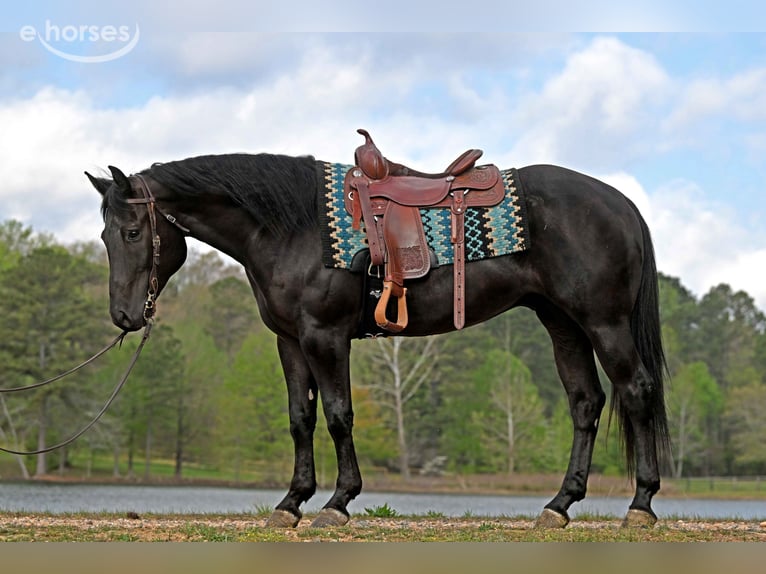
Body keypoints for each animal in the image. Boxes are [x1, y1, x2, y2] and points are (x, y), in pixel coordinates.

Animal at [86, 144, 670, 529]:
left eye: (133, 232)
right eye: (105, 236)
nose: (124, 316)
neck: (290, 225)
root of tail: (618, 202)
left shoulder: (326, 337)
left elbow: (338, 415)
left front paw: (337, 502)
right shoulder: (289, 342)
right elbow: (300, 418)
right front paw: (291, 502)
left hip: (604, 322)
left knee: (636, 391)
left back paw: (641, 505)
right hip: (562, 323)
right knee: (586, 403)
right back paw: (559, 505)